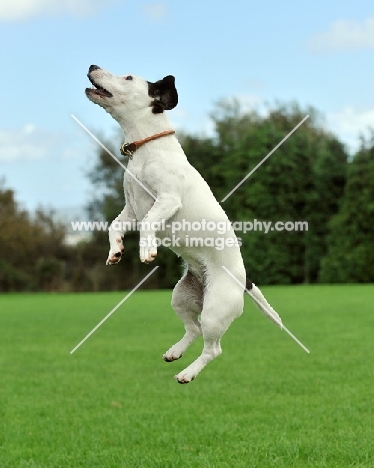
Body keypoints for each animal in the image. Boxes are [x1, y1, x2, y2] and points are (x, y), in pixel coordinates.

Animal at [85, 64, 280, 382]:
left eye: (128, 77)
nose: (92, 66)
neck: (146, 150)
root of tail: (245, 280)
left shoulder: (166, 200)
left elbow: (149, 223)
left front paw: (146, 251)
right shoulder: (130, 210)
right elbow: (115, 226)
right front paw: (115, 251)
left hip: (215, 310)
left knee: (212, 348)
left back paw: (187, 373)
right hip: (182, 298)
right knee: (194, 329)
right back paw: (175, 352)